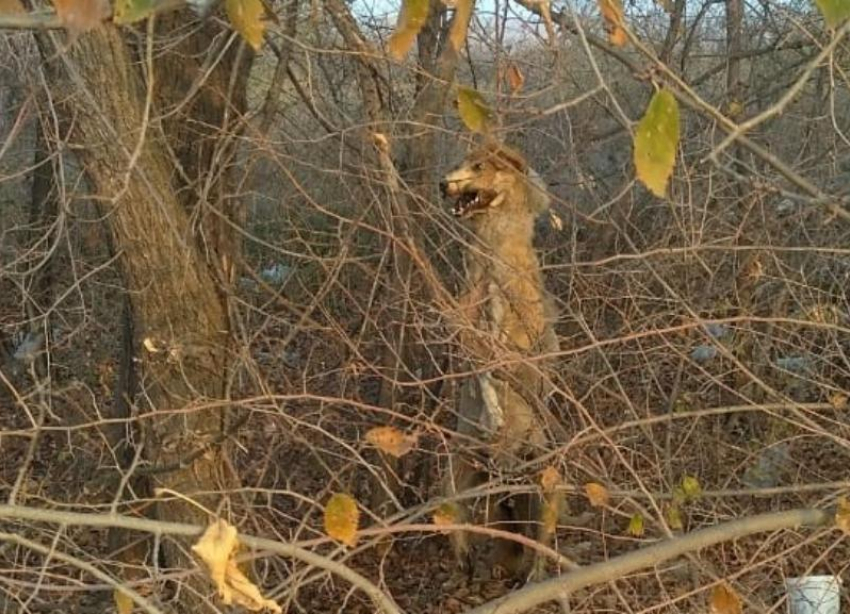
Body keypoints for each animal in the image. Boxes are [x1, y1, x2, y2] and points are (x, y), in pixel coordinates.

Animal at [440, 143, 560, 584]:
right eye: (459, 162)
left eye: (478, 167)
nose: (442, 184)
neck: (491, 249)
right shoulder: (466, 325)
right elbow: (474, 367)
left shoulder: (510, 329)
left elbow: (498, 367)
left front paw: (495, 409)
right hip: (455, 472)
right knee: (459, 523)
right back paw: (464, 567)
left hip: (546, 480)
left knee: (542, 539)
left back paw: (536, 575)